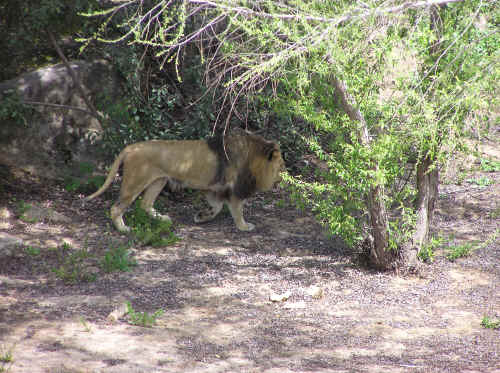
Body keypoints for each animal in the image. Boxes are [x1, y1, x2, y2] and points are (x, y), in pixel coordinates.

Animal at [84, 132, 284, 232]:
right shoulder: (233, 189)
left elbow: (217, 206)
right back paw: (123, 229)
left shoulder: (212, 187)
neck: (252, 156)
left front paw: (202, 216)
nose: (281, 180)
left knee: (145, 204)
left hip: (159, 181)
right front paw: (244, 226)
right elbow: (237, 210)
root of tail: (132, 147)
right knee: (116, 208)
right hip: (135, 182)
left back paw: (162, 219)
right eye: (281, 167)